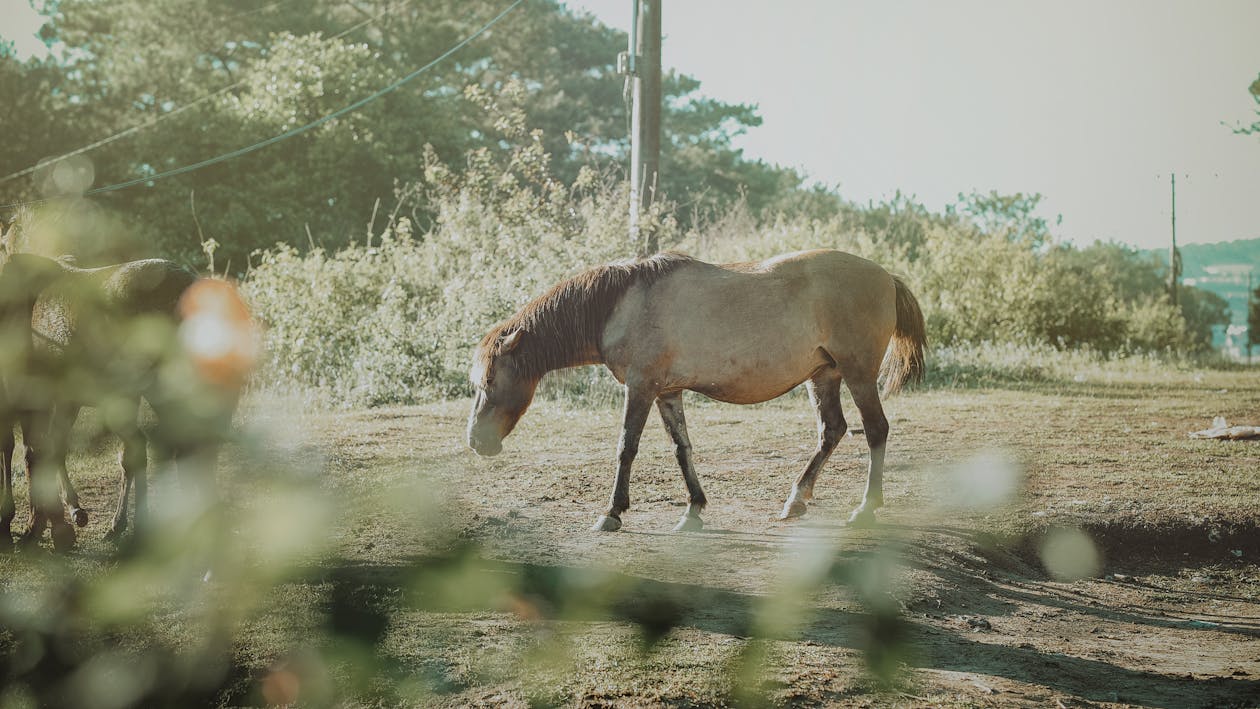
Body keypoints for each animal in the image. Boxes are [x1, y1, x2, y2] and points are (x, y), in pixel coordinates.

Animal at [463, 249, 927, 533]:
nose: (475, 441)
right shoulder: (667, 392)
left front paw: (612, 512)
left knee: (875, 430)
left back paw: (865, 508)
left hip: (858, 374)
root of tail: (886, 277)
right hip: (823, 375)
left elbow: (626, 447)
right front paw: (694, 510)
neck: (621, 302)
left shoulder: (641, 387)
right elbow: (681, 449)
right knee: (832, 431)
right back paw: (796, 499)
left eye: (489, 381)